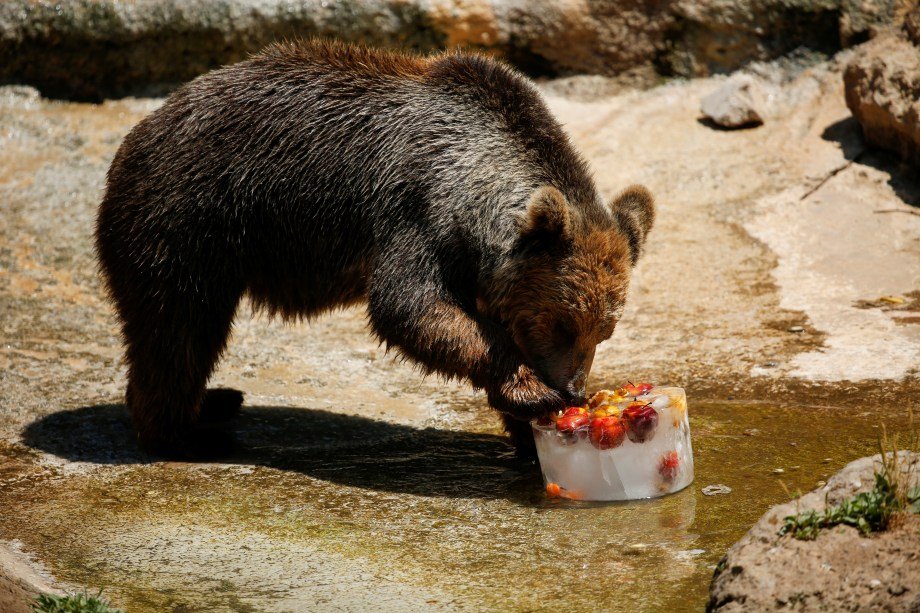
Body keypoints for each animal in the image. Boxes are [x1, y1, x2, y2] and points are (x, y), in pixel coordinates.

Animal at [95, 39, 655, 458]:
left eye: (604, 329)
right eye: (563, 323)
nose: (575, 389)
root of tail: (140, 131)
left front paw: (527, 437)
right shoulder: (414, 213)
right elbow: (410, 307)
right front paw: (530, 392)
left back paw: (213, 403)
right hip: (187, 220)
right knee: (177, 329)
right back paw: (183, 431)